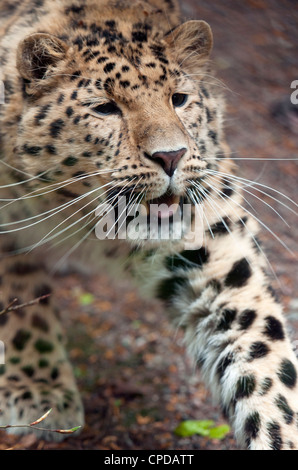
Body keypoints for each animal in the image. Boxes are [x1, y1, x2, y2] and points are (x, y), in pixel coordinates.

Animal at [0, 0, 296, 450]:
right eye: (105, 107)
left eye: (179, 99)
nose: (171, 156)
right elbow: (18, 304)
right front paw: (41, 390)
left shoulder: (218, 254)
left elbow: (264, 356)